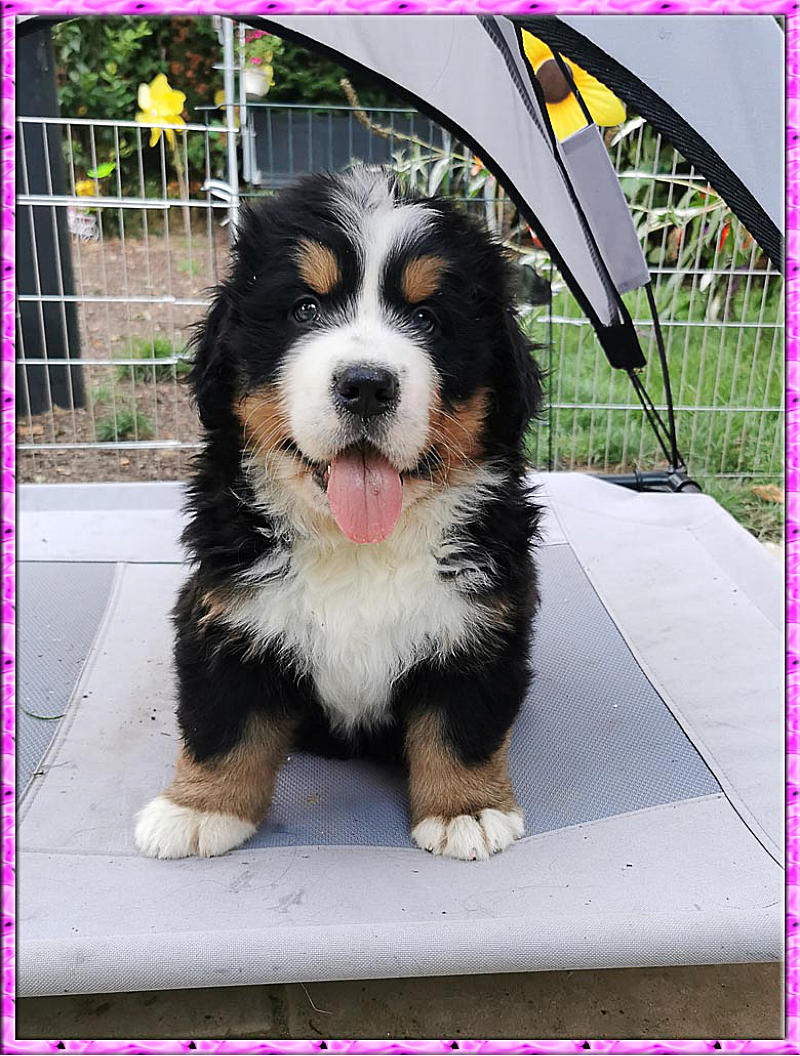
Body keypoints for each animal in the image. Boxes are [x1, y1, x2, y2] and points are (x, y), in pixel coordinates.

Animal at [134, 167, 544, 862]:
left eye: (428, 318)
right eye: (305, 308)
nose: (367, 384)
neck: (358, 545)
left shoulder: (482, 625)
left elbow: (462, 726)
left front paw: (467, 809)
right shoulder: (224, 613)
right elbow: (222, 722)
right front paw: (198, 808)